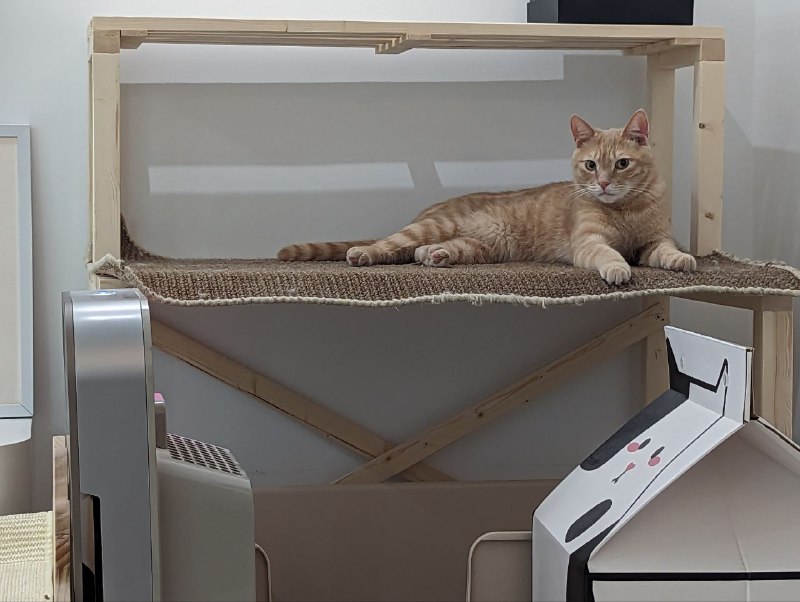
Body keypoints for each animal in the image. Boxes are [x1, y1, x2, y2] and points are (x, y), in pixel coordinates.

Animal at [277, 109, 696, 285]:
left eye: (622, 164)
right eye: (591, 165)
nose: (605, 184)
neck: (624, 209)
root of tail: (428, 210)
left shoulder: (653, 241)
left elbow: (665, 251)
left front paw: (681, 260)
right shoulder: (589, 243)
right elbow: (609, 254)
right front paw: (617, 268)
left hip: (482, 246)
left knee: (417, 252)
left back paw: (436, 256)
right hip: (435, 227)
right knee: (391, 245)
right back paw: (363, 254)